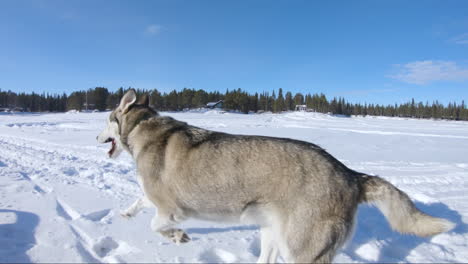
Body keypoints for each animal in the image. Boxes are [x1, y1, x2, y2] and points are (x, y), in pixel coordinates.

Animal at [98, 89, 454, 262]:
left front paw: (177, 237)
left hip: (302, 249)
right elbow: (139, 202)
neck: (142, 128)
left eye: (105, 120)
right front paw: (126, 213)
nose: (97, 137)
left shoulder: (171, 208)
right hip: (273, 233)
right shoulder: (155, 197)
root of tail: (350, 174)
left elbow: (157, 225)